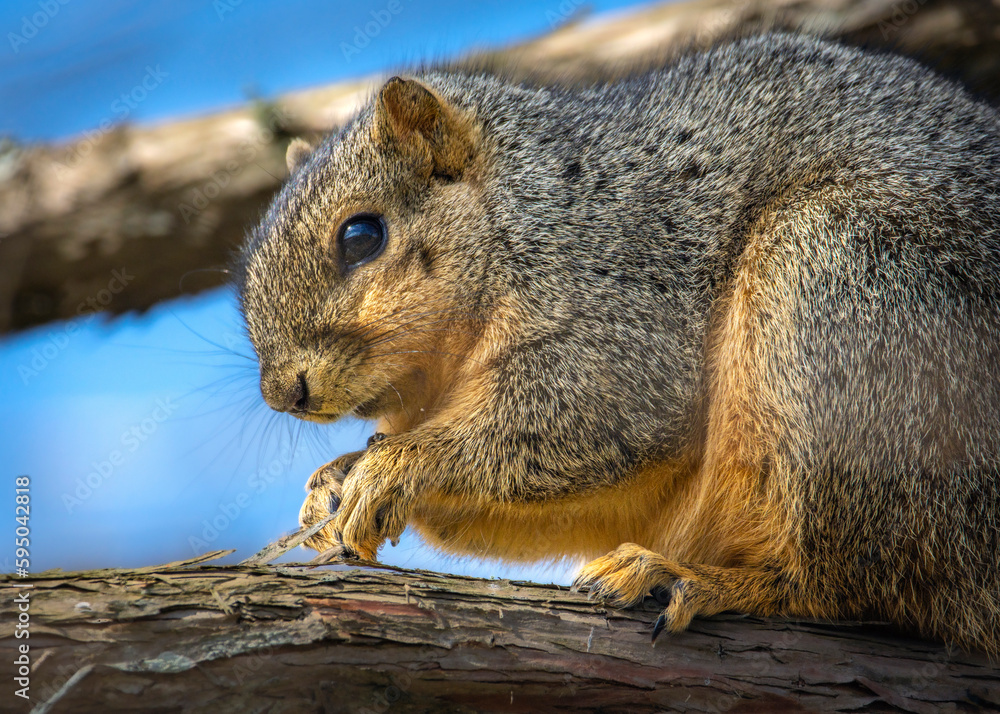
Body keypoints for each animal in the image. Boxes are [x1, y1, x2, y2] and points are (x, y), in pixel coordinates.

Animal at [236, 33, 1000, 648]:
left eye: (362, 236)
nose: (284, 393)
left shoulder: (625, 295)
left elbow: (596, 420)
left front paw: (398, 465)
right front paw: (334, 480)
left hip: (837, 292)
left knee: (846, 586)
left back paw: (701, 581)